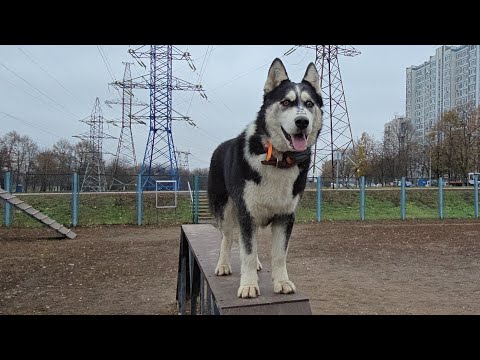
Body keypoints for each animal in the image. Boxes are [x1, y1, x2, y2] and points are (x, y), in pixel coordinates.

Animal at [206, 57, 322, 298]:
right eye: (286, 102)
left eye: (309, 104)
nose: (302, 122)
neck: (277, 160)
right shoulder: (247, 213)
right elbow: (247, 252)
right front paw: (248, 285)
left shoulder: (285, 216)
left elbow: (278, 254)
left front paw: (282, 282)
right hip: (226, 210)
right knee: (227, 238)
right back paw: (223, 265)